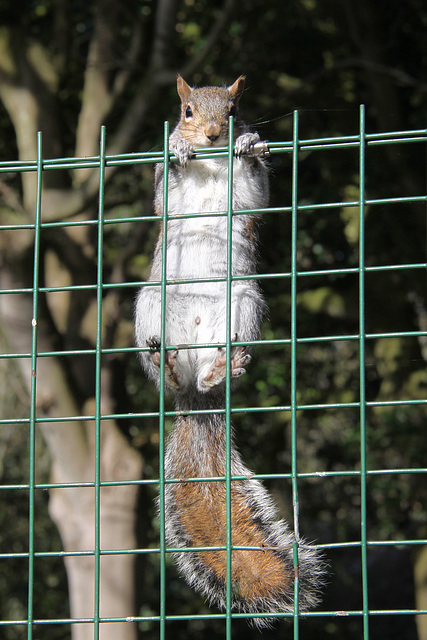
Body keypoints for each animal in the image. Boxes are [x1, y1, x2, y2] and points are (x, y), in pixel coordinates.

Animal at [134, 75, 324, 624]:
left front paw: (248, 147)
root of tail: (196, 399)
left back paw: (223, 367)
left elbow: (256, 192)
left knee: (217, 362)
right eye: (186, 110)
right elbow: (163, 195)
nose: (215, 135)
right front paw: (177, 149)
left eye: (235, 109)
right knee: (167, 366)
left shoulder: (250, 198)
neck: (211, 164)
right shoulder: (166, 197)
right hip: (151, 304)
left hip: (244, 303)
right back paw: (167, 366)